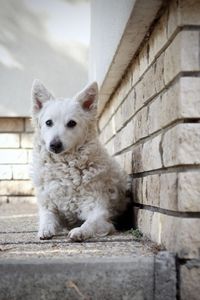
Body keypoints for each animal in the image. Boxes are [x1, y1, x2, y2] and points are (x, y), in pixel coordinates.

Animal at [30, 80, 128, 241]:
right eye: (48, 122)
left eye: (71, 123)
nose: (54, 144)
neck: (65, 167)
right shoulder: (48, 205)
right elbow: (47, 218)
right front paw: (45, 229)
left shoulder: (99, 212)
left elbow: (90, 223)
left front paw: (80, 231)